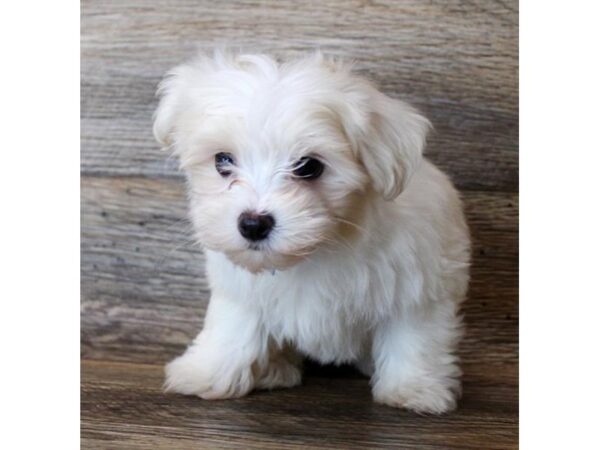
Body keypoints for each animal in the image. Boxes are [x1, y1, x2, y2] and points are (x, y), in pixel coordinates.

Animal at [152, 51, 472, 414]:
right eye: (223, 160)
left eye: (309, 167)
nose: (253, 224)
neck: (323, 245)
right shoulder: (241, 290)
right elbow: (233, 327)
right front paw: (206, 373)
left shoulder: (417, 282)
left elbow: (413, 336)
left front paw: (415, 389)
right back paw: (273, 369)